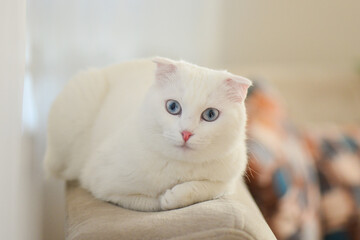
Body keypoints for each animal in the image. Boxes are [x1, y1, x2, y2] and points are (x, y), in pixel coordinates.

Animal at [44, 57, 250, 211]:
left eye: (210, 115)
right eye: (173, 107)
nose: (186, 133)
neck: (177, 170)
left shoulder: (229, 181)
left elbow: (207, 188)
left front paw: (174, 196)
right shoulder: (99, 180)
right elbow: (148, 203)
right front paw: (162, 198)